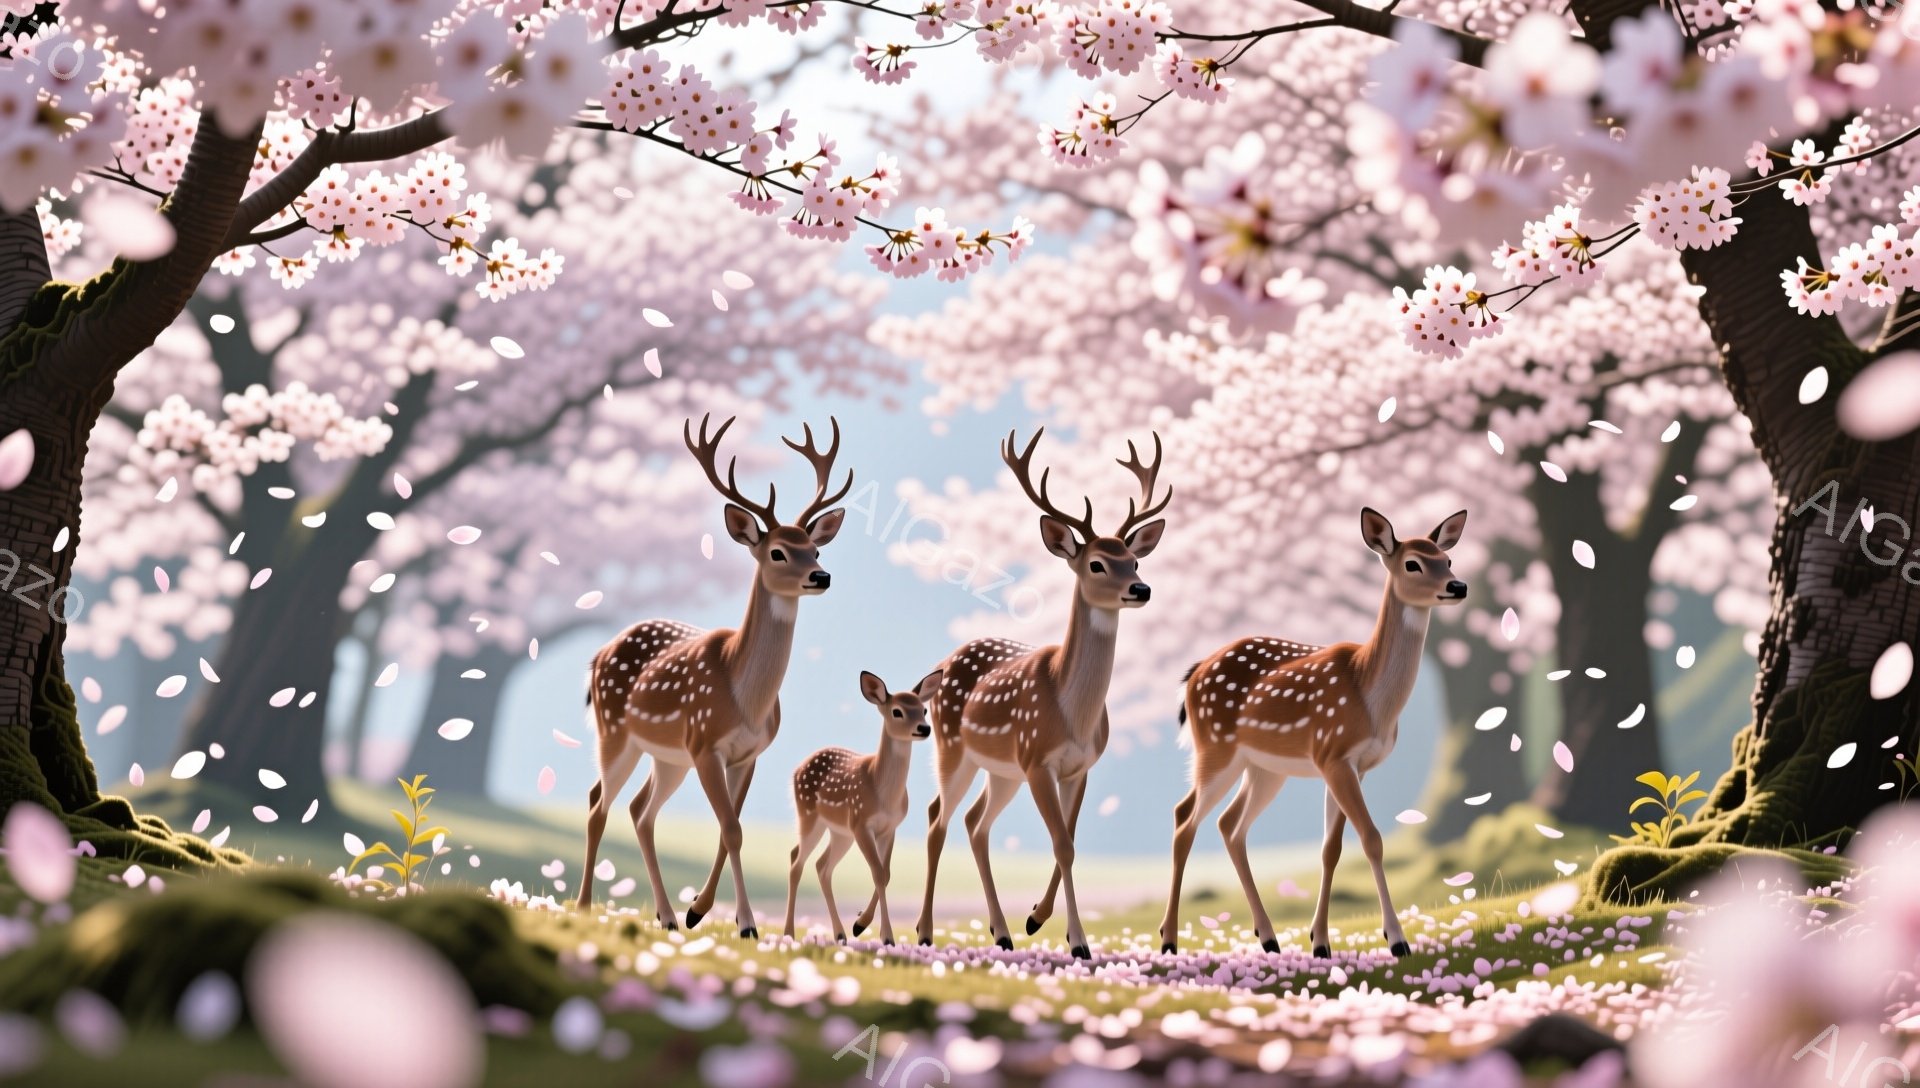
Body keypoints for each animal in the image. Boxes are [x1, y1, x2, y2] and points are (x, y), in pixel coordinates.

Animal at [574, 413, 851, 939]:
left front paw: (699, 910)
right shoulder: (705, 744)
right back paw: (581, 905)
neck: (746, 700)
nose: (823, 577)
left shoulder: (749, 753)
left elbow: (730, 829)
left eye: (815, 549)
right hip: (616, 732)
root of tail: (598, 654)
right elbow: (733, 829)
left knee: (639, 811)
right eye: (778, 552)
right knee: (599, 802)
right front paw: (745, 924)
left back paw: (666, 916)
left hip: (668, 757)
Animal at [781, 669, 943, 945]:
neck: (883, 794)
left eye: (923, 709)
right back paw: (789, 933)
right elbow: (877, 872)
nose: (924, 728)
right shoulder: (861, 823)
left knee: (821, 866)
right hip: (810, 816)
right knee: (796, 861)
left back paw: (840, 934)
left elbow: (885, 873)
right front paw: (886, 936)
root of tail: (796, 769)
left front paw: (860, 924)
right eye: (897, 711)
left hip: (840, 832)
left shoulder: (890, 828)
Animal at [914, 428, 1170, 959]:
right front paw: (1078, 942)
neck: (1073, 715)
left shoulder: (1080, 766)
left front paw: (1036, 918)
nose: (1141, 589)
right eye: (1096, 563)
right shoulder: (1037, 760)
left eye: (1135, 559)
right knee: (937, 819)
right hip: (954, 749)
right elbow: (1062, 843)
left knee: (975, 823)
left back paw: (1003, 932)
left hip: (1001, 770)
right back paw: (925, 932)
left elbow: (1069, 838)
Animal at [1157, 507, 1469, 958]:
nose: (1458, 586)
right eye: (1413, 563)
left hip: (1265, 769)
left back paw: (1268, 938)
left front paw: (1320, 942)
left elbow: (1331, 849)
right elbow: (1372, 838)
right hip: (1215, 748)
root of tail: (1193, 674)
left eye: (1447, 559)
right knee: (1185, 817)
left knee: (1230, 825)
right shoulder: (1333, 753)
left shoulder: (1353, 765)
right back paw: (1169, 940)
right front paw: (1397, 941)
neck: (1369, 694)